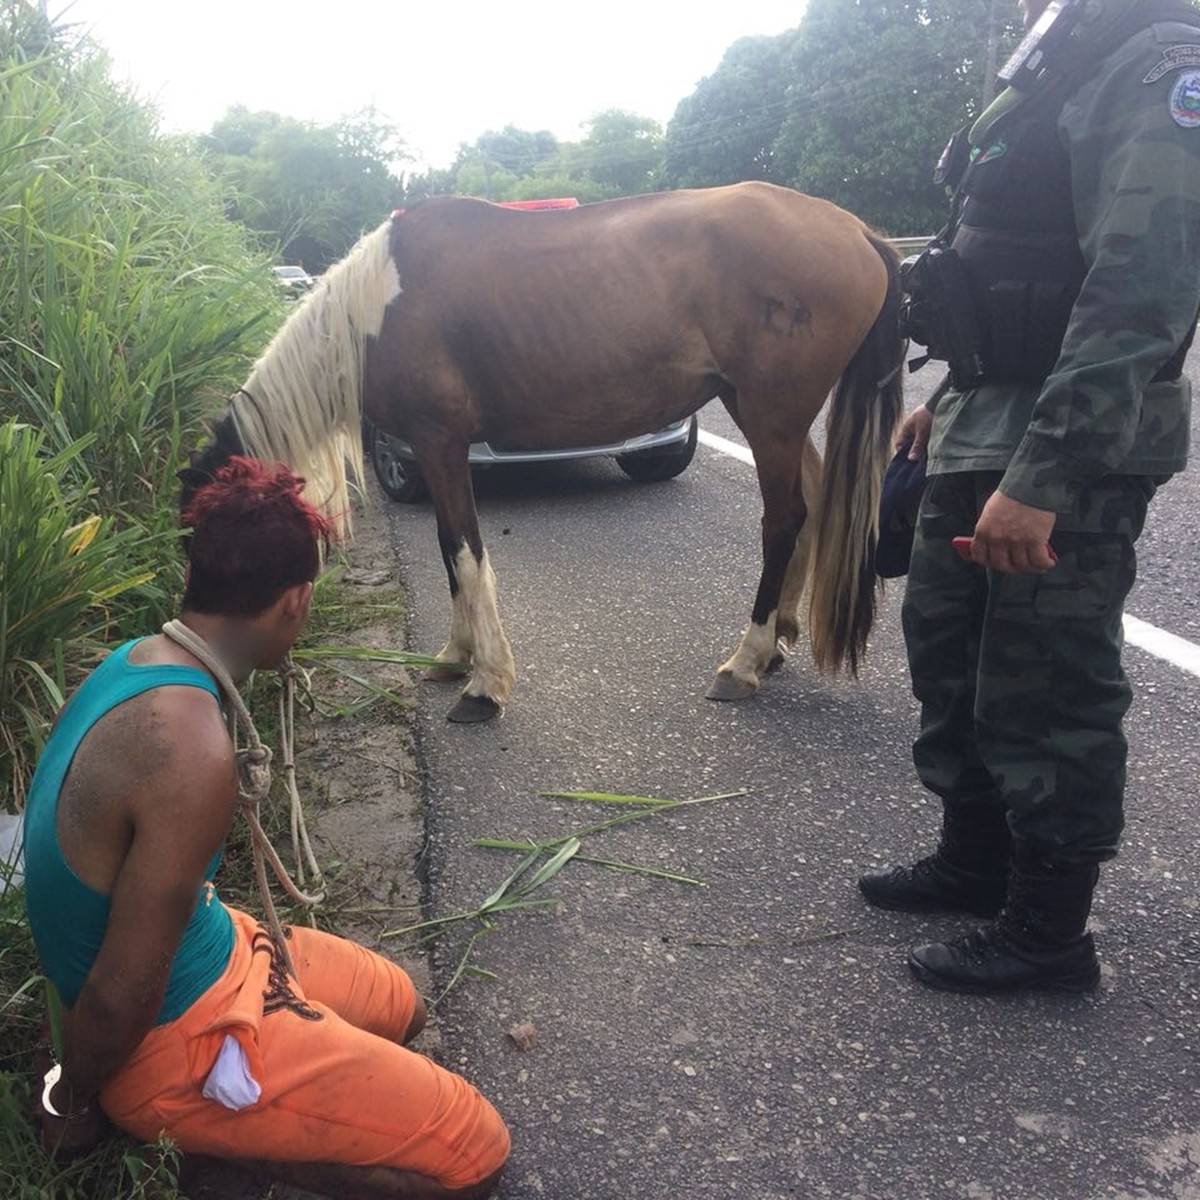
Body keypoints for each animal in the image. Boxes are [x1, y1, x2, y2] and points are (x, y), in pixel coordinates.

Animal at [182, 180, 902, 720]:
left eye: (214, 538)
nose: (206, 657)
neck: (374, 311)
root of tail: (858, 231)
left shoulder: (439, 444)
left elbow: (462, 550)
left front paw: (484, 685)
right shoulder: (435, 451)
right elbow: (449, 551)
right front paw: (454, 658)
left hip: (769, 416)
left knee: (784, 521)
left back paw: (744, 662)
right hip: (772, 418)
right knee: (811, 507)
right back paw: (777, 641)